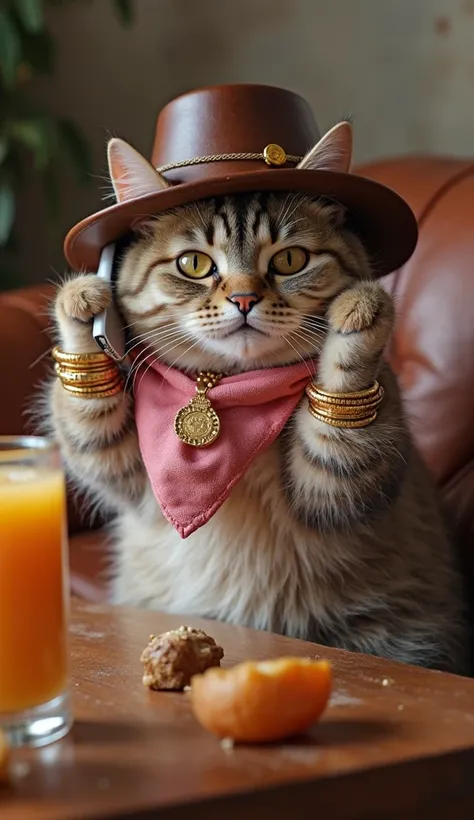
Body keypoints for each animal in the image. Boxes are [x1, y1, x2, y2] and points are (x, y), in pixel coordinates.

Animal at [46, 123, 468, 672]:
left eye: (290, 260)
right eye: (194, 264)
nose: (243, 299)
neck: (229, 389)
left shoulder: (339, 489)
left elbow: (341, 404)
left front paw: (357, 312)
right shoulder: (131, 475)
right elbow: (85, 417)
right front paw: (81, 303)